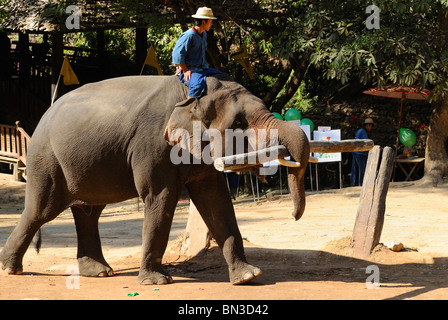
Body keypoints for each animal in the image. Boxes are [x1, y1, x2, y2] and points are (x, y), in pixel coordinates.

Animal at [0, 73, 308, 284]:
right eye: (240, 123)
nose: (294, 217)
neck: (191, 93)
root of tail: (43, 115)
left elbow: (216, 200)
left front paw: (248, 277)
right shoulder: (153, 144)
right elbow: (161, 197)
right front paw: (156, 281)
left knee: (88, 213)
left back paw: (99, 273)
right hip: (46, 159)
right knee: (41, 211)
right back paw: (11, 269)